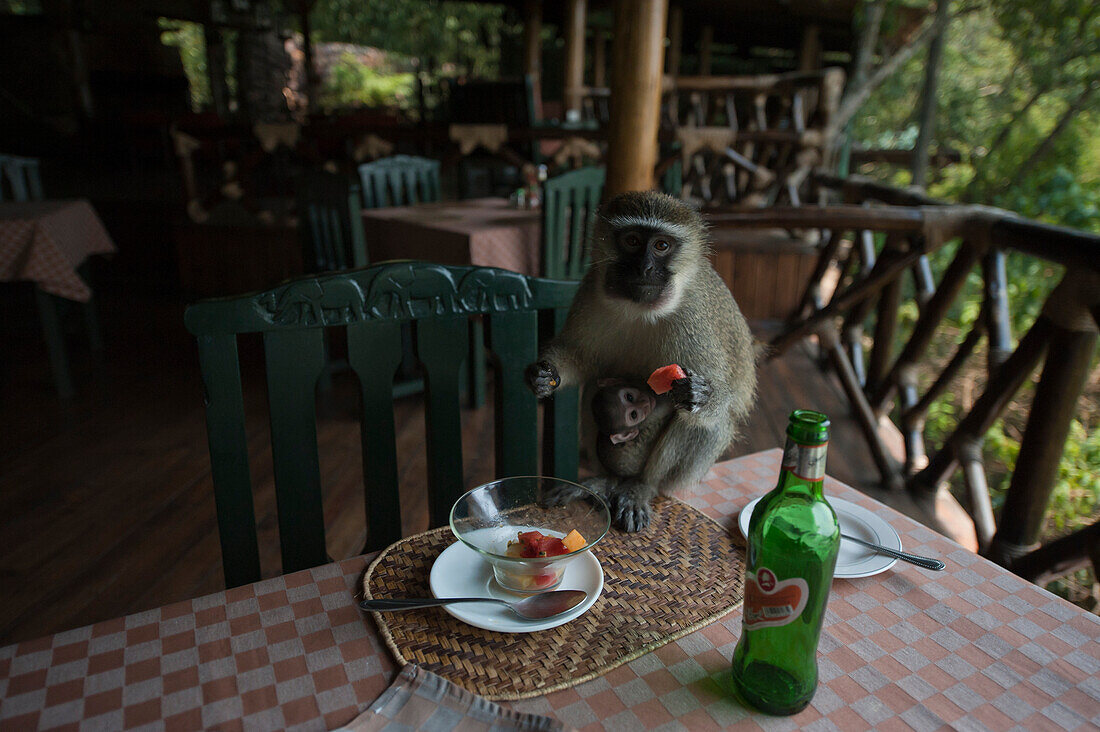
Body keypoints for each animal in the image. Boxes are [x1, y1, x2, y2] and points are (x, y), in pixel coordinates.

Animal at [523, 191, 756, 528]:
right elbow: (580, 356)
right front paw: (544, 376)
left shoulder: (695, 319)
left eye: (661, 246)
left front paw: (700, 394)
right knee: (596, 384)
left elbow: (717, 400)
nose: (644, 268)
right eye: (632, 241)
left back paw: (642, 486)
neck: (642, 309)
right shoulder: (592, 288)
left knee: (704, 423)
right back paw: (605, 480)